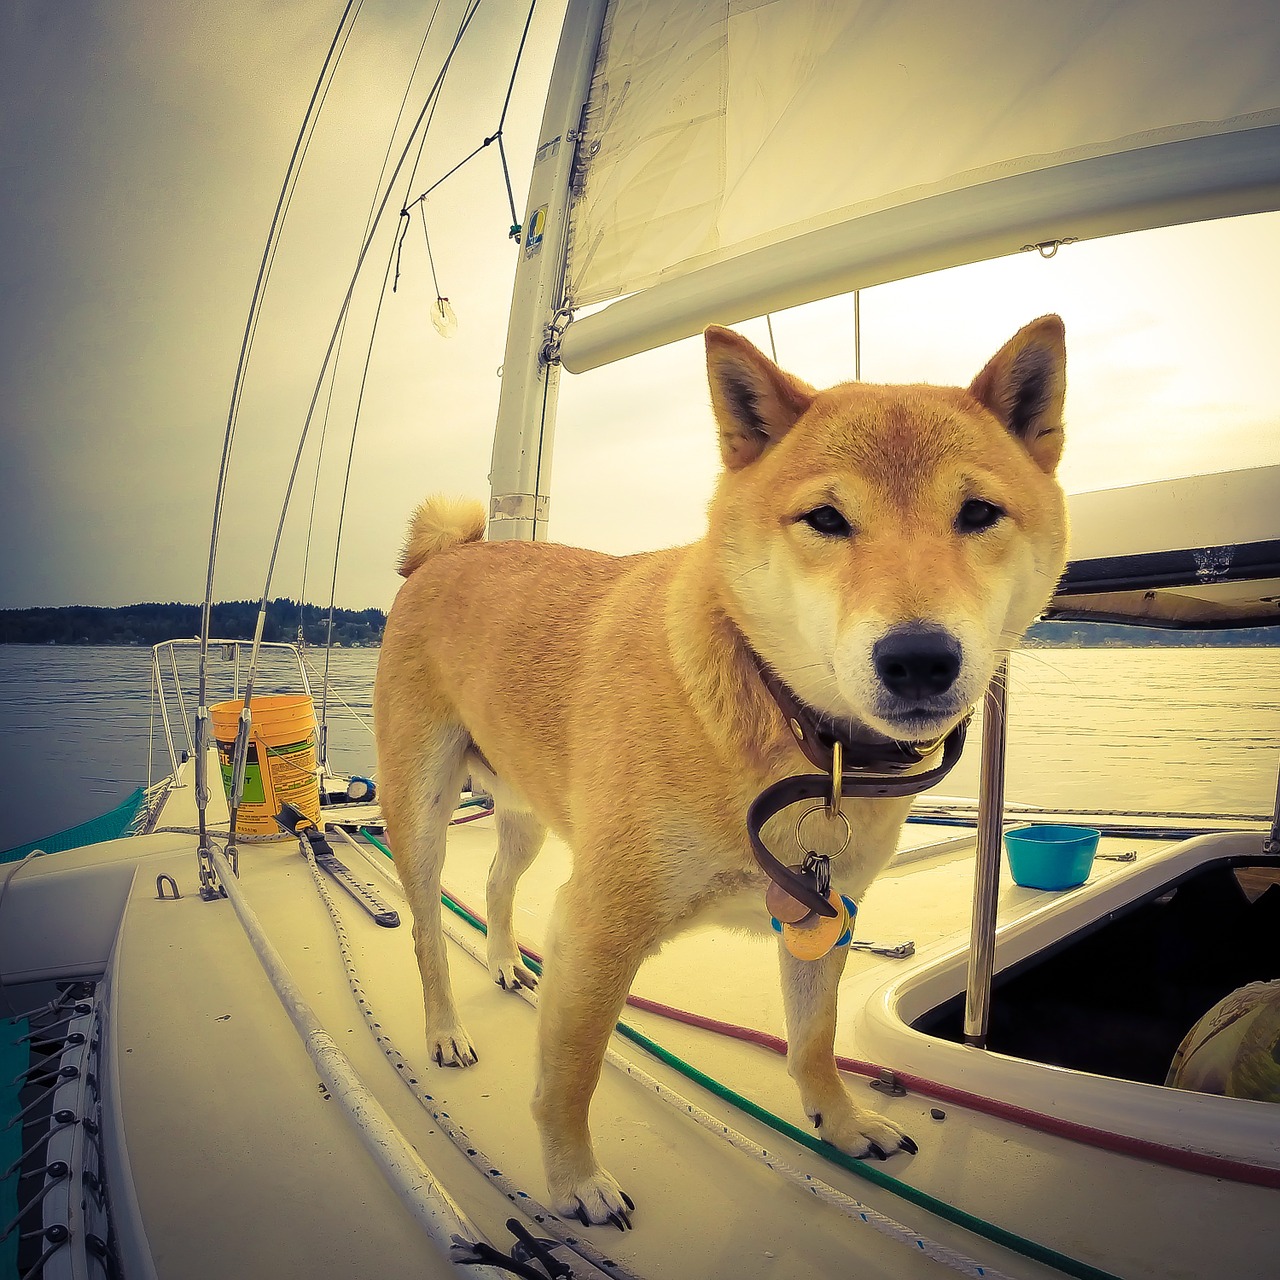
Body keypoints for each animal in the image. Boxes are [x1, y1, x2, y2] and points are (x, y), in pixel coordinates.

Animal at [373, 314, 1070, 1223]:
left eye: (979, 512)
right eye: (825, 519)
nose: (919, 658)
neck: (799, 732)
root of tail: (444, 557)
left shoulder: (826, 909)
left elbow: (813, 1041)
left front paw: (844, 1124)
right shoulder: (599, 924)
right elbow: (570, 1075)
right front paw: (574, 1181)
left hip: (524, 811)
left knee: (494, 884)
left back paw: (501, 958)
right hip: (420, 807)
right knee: (426, 932)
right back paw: (446, 1031)